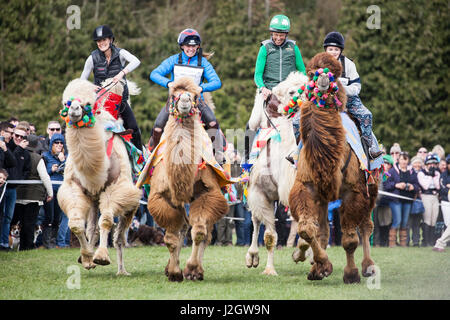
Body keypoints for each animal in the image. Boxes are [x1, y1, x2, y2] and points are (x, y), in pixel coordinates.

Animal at [57, 78, 141, 276]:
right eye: (66, 103)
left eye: (89, 103)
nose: (74, 110)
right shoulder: (74, 187)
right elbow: (76, 224)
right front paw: (87, 259)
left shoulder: (116, 188)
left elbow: (107, 221)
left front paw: (101, 257)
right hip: (94, 200)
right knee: (92, 228)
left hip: (131, 202)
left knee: (119, 237)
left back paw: (122, 271)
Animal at [286, 53, 378, 284]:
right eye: (311, 73)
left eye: (334, 75)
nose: (322, 82)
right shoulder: (307, 187)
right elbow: (308, 230)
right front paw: (321, 267)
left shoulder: (354, 191)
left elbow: (349, 240)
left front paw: (351, 274)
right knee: (324, 230)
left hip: (371, 186)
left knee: (366, 225)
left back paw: (368, 267)